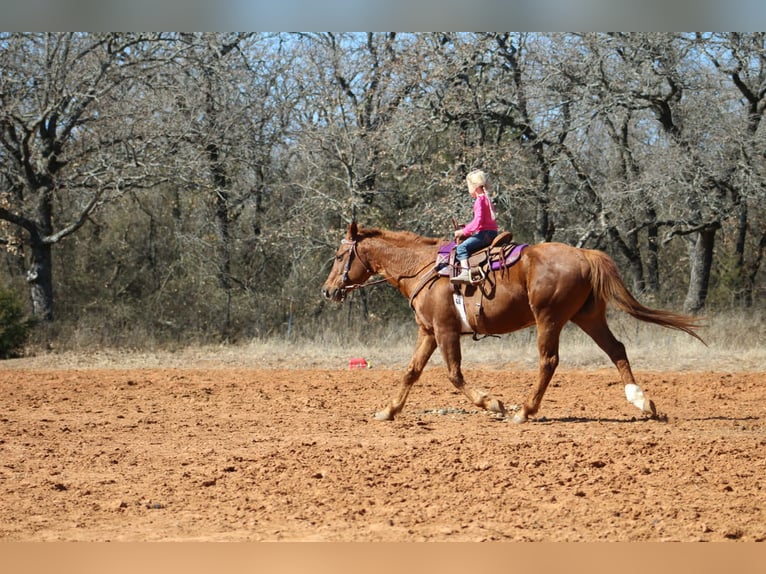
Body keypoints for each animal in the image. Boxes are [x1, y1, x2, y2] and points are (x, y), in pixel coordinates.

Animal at [321, 222, 704, 423]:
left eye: (340, 256)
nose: (328, 290)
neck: (424, 268)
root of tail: (584, 254)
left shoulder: (445, 331)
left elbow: (454, 374)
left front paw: (493, 403)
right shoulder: (428, 331)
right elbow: (411, 372)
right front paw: (388, 410)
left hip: (549, 318)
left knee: (549, 361)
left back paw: (525, 410)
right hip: (588, 316)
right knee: (617, 350)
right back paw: (643, 403)